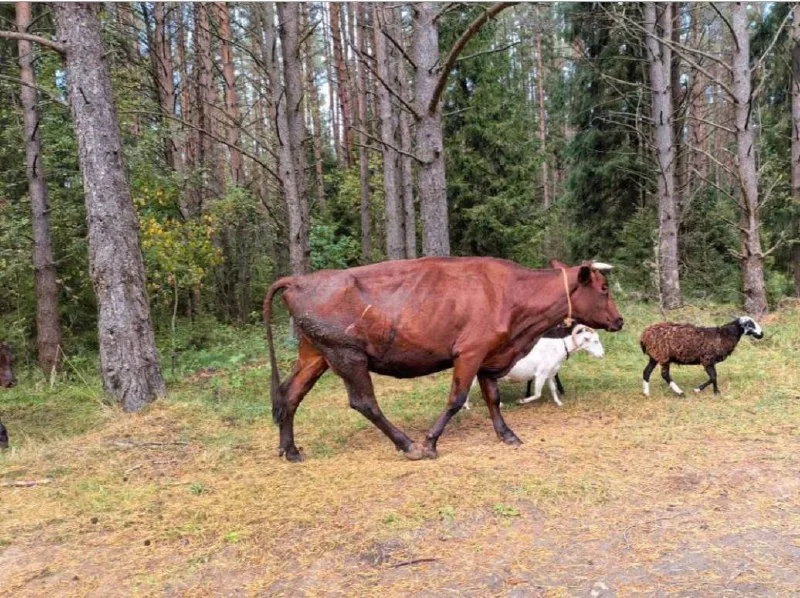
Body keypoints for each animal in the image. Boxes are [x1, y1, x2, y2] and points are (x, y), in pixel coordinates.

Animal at [466, 324, 605, 409]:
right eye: (595, 341)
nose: (603, 354)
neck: (560, 347)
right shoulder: (541, 374)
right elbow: (537, 394)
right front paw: (521, 401)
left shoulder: (550, 374)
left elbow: (553, 389)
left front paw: (559, 403)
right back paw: (468, 406)